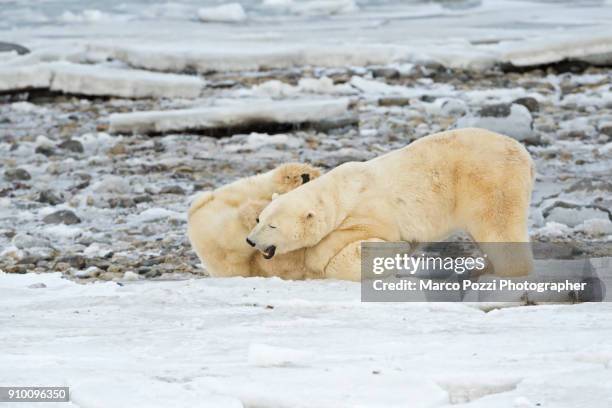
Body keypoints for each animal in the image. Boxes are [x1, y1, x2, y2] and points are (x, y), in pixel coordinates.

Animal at [247, 128, 536, 280]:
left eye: (272, 226)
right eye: (259, 219)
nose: (250, 240)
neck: (342, 190)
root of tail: (524, 154)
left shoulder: (372, 210)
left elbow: (353, 232)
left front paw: (317, 259)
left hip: (489, 181)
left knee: (497, 225)